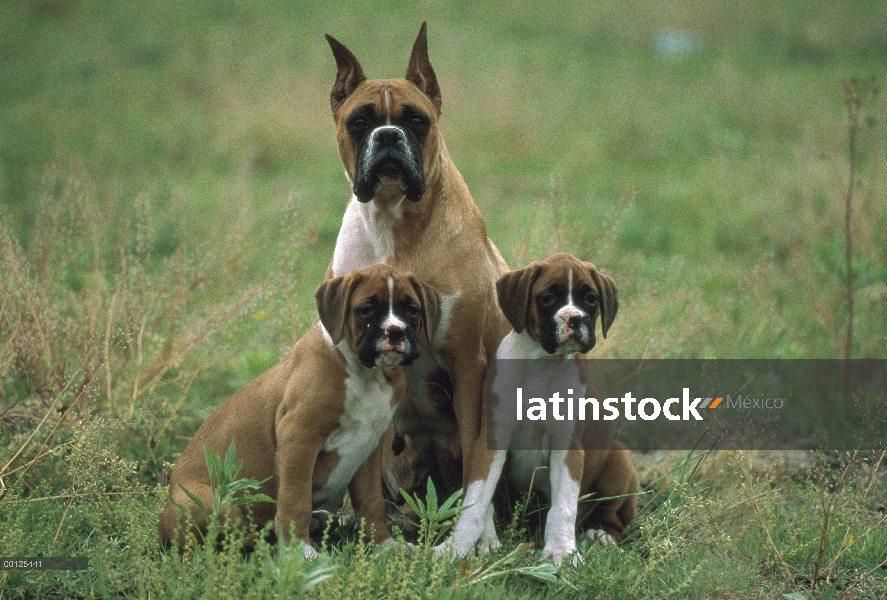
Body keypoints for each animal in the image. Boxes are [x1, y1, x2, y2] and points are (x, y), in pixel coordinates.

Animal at [158, 264, 442, 556]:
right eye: (366, 309)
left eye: (412, 309)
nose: (395, 331)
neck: (367, 375)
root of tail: (161, 525)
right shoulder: (299, 438)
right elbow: (296, 500)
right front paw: (300, 552)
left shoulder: (370, 448)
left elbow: (371, 501)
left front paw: (384, 546)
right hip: (212, 500)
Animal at [326, 23, 510, 500]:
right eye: (359, 122)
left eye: (416, 121)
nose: (388, 136)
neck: (393, 226)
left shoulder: (467, 366)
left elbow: (478, 460)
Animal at [442, 253, 640, 568]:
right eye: (547, 298)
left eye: (591, 299)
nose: (576, 318)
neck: (541, 364)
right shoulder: (491, 441)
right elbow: (476, 501)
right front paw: (455, 547)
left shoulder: (568, 448)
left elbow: (563, 508)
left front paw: (561, 551)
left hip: (620, 458)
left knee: (614, 519)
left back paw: (600, 534)